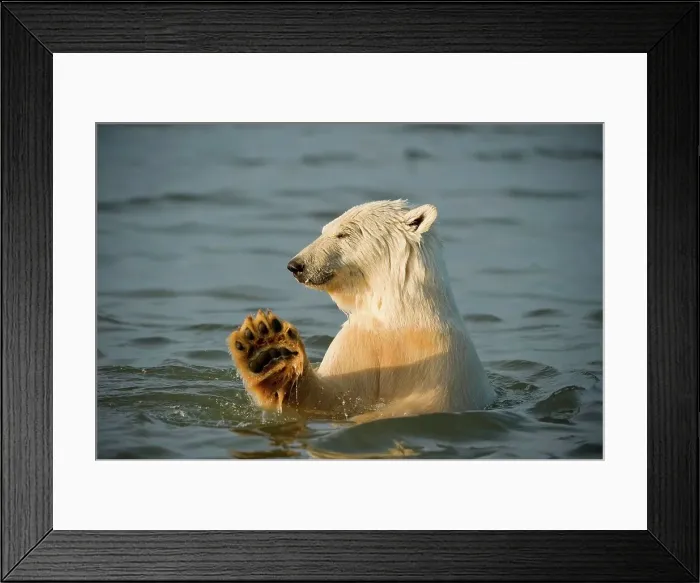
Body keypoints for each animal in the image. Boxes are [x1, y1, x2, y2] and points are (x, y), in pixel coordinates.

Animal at [227, 199, 496, 422]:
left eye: (343, 234)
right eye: (325, 230)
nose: (296, 265)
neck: (396, 318)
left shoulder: (443, 360)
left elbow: (422, 404)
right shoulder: (360, 341)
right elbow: (328, 398)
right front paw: (266, 347)